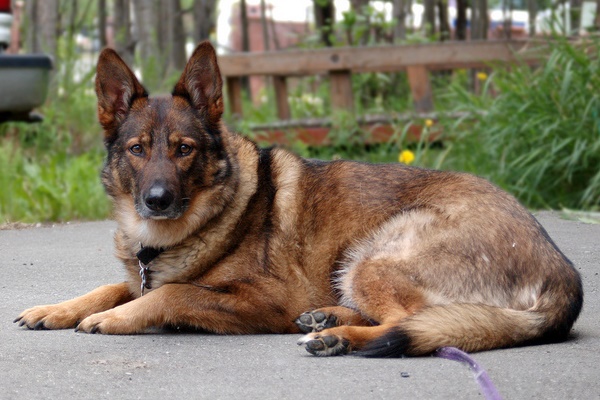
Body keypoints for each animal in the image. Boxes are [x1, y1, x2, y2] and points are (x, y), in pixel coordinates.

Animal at [16, 42, 584, 358]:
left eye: (183, 149)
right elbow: (115, 287)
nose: (156, 200)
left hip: (374, 256)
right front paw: (58, 309)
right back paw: (328, 319)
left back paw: (337, 337)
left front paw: (116, 318)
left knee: (413, 323)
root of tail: (565, 276)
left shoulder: (265, 299)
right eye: (137, 150)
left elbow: (173, 294)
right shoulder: (142, 272)